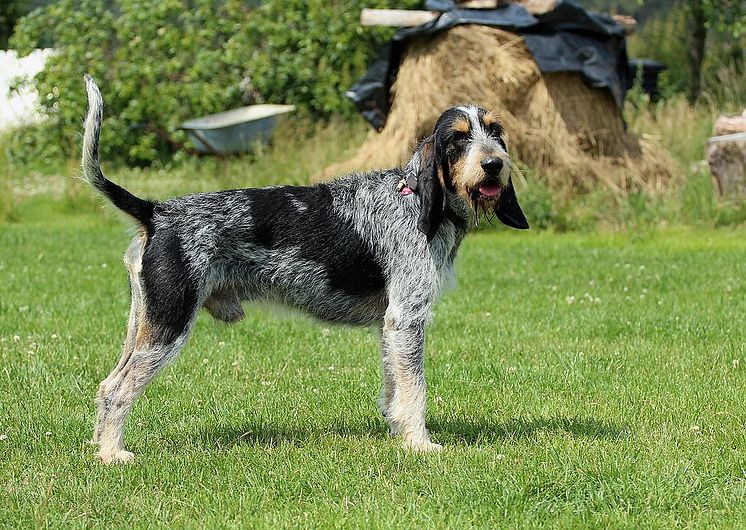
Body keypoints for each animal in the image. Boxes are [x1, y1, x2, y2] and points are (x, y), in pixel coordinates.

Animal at [81, 75, 528, 462]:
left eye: (495, 132)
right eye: (458, 138)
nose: (494, 164)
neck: (418, 203)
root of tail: (156, 211)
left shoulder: (392, 326)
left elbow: (394, 390)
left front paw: (399, 435)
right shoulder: (408, 319)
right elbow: (415, 390)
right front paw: (420, 445)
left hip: (143, 323)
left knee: (106, 386)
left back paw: (97, 447)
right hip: (168, 327)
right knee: (120, 390)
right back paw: (112, 455)